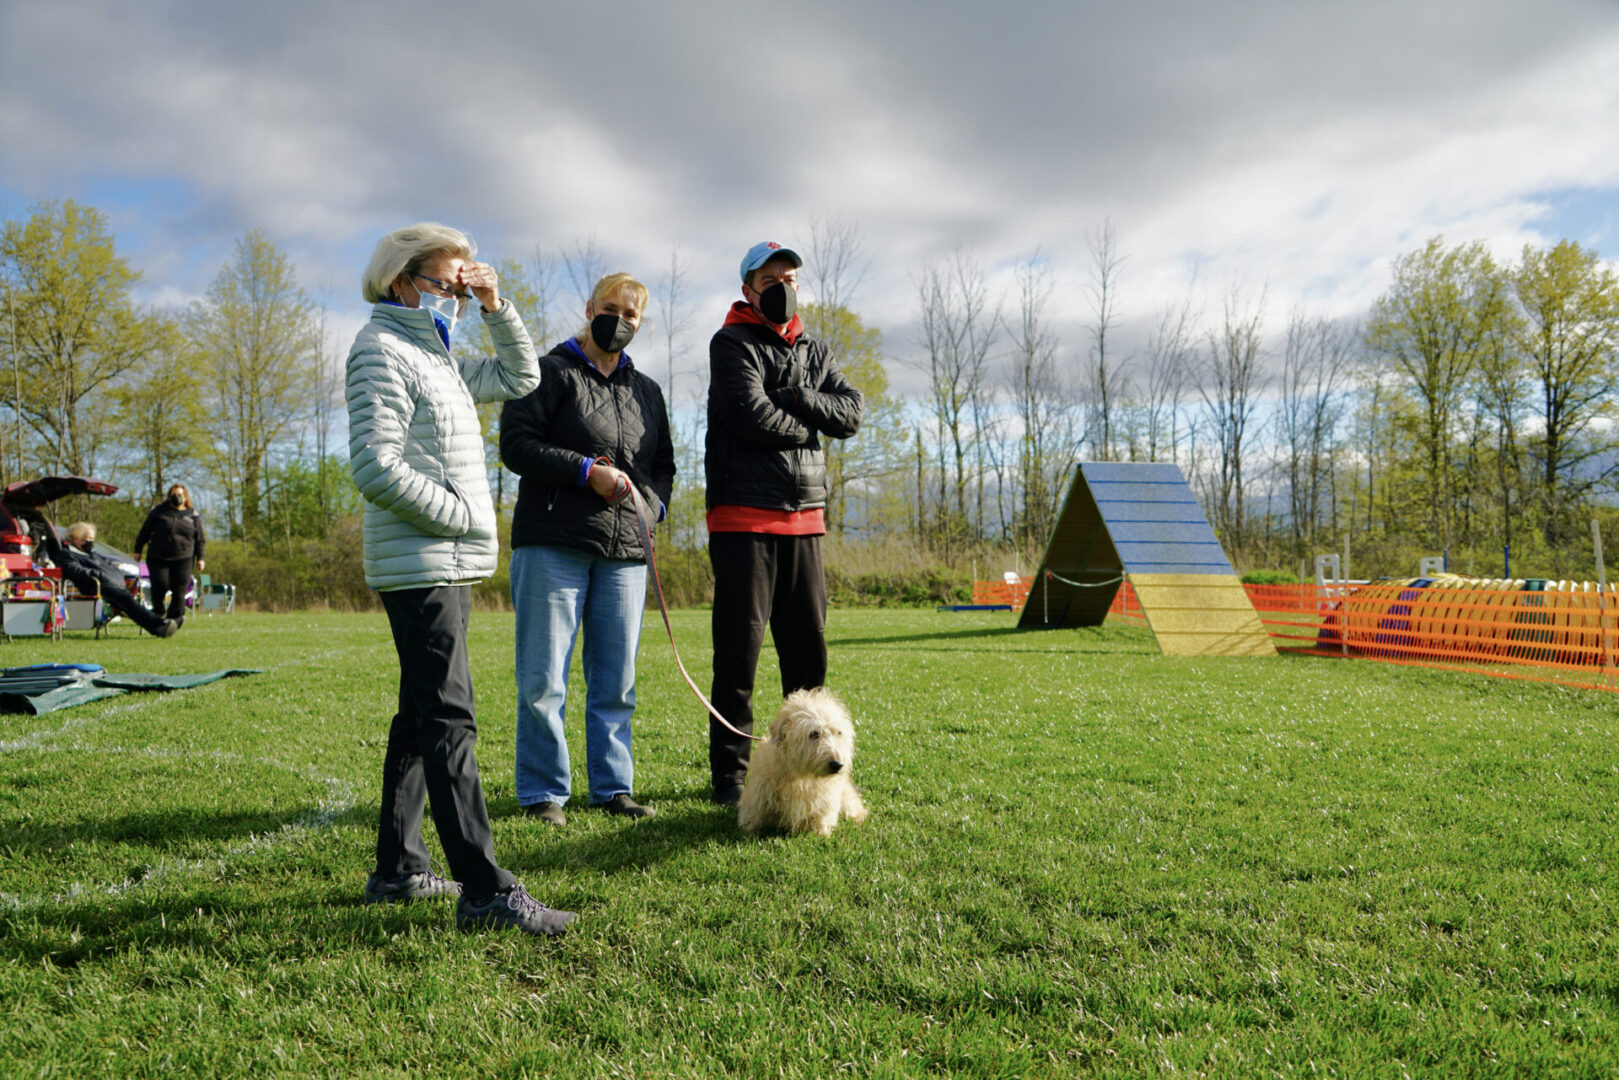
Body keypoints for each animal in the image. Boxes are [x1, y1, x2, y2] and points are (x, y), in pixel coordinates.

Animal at [741, 689, 874, 841]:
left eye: (839, 733)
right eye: (814, 733)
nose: (837, 764)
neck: (801, 775)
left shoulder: (825, 801)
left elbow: (821, 818)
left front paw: (821, 835)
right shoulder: (758, 797)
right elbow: (753, 816)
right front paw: (748, 831)